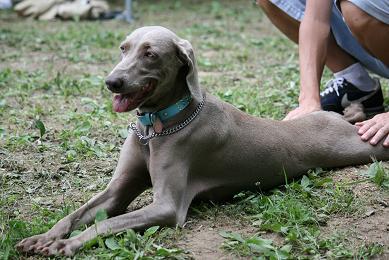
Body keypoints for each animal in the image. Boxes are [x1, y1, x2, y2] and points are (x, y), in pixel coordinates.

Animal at [16, 25, 386, 256]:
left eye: (150, 54)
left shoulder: (167, 206)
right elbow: (76, 215)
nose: (112, 82)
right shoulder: (117, 190)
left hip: (358, 147)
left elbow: (107, 224)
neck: (155, 128)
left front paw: (67, 245)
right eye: (123, 48)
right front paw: (42, 237)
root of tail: (337, 118)